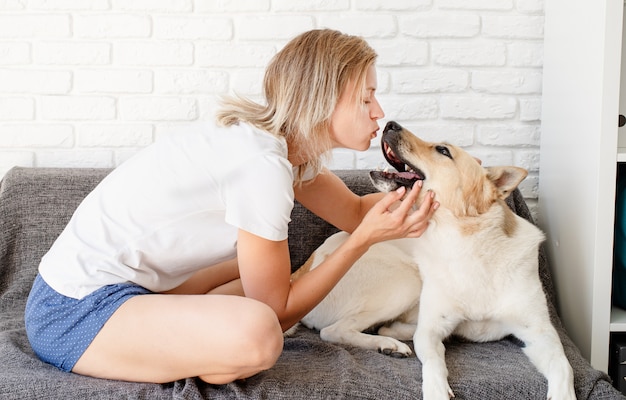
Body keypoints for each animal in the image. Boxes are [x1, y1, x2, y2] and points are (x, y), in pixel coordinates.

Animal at [294, 122, 576, 400]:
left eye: (442, 150)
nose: (389, 124)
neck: (467, 245)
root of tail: (303, 270)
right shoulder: (431, 330)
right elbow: (434, 364)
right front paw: (437, 389)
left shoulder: (541, 333)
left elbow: (565, 368)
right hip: (406, 281)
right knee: (333, 331)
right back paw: (389, 343)